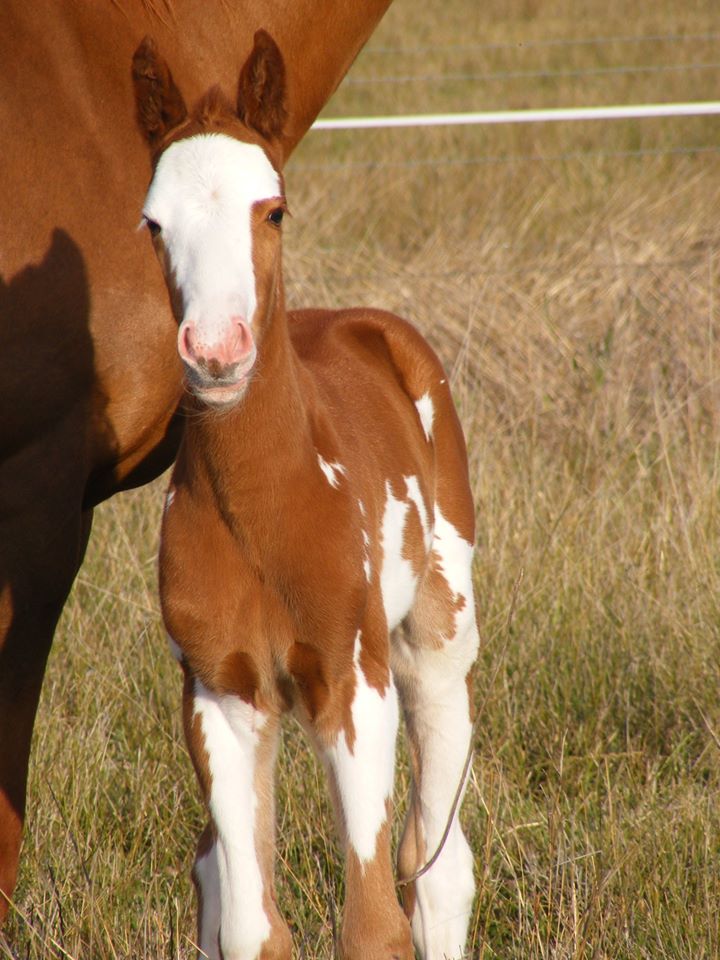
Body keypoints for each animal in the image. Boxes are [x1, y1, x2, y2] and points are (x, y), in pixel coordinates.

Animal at [133, 30, 480, 960]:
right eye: (153, 223)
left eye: (274, 210)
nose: (217, 352)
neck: (266, 508)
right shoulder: (222, 697)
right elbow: (253, 927)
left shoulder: (354, 686)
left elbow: (374, 925)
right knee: (214, 871)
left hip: (439, 643)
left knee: (440, 868)